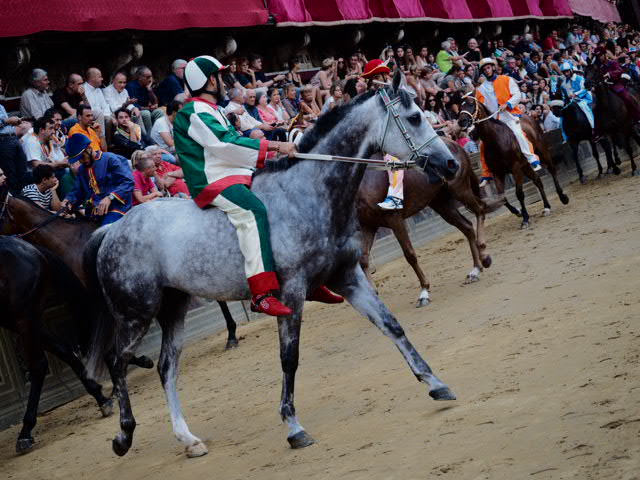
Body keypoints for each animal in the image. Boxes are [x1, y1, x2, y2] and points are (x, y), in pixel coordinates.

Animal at [0, 232, 113, 454]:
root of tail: (29, 246)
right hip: (16, 318)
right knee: (66, 351)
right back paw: (101, 398)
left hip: (23, 315)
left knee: (39, 365)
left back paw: (25, 433)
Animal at [83, 71, 460, 458]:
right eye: (414, 117)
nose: (451, 164)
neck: (307, 192)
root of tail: (113, 229)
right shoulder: (291, 292)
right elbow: (289, 357)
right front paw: (293, 426)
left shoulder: (348, 276)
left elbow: (391, 325)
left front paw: (435, 383)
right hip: (136, 313)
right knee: (118, 363)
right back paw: (124, 435)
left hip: (172, 308)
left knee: (166, 368)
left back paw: (187, 439)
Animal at [357, 137, 498, 307]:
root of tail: (452, 143)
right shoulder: (368, 225)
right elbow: (363, 260)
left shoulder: (394, 218)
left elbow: (410, 254)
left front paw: (424, 291)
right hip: (440, 203)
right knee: (467, 227)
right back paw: (475, 270)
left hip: (459, 189)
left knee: (480, 210)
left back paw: (484, 256)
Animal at [458, 98, 569, 229]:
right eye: (460, 106)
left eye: (471, 103)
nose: (461, 121)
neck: (496, 140)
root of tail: (528, 117)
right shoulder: (498, 173)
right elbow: (502, 198)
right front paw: (518, 212)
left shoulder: (515, 169)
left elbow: (519, 193)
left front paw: (525, 218)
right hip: (525, 165)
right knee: (537, 180)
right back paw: (546, 207)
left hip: (542, 152)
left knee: (552, 169)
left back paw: (563, 197)